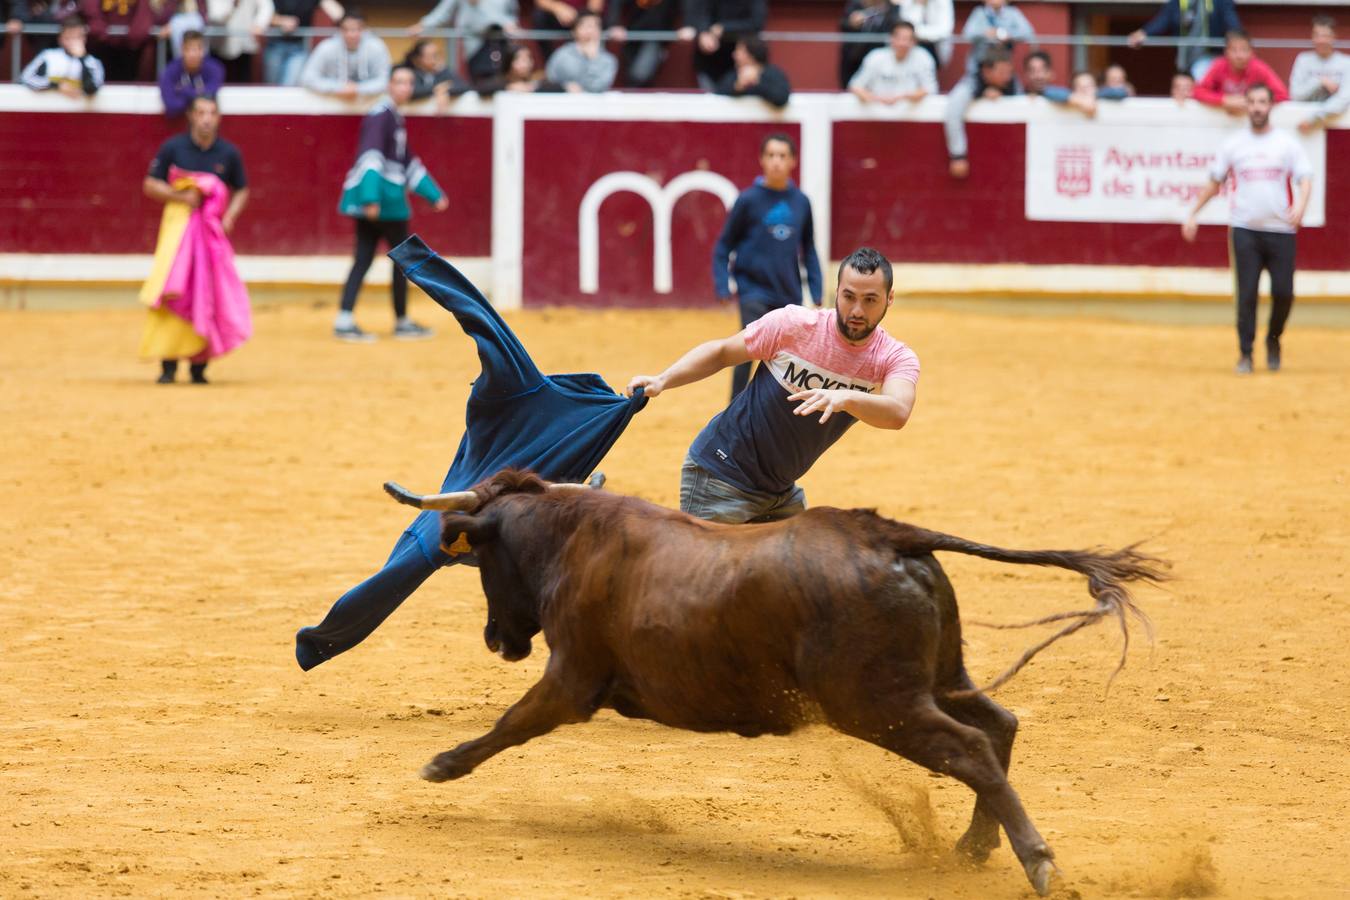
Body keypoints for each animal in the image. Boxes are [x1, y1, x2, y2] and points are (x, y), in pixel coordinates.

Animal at [386, 472, 1166, 895]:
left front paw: (441, 764)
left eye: (482, 562)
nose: (499, 640)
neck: (575, 538)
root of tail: (889, 535)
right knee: (998, 726)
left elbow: (512, 722)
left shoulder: (571, 679)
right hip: (938, 680)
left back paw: (1038, 864)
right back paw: (972, 850)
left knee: (971, 748)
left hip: (879, 704)